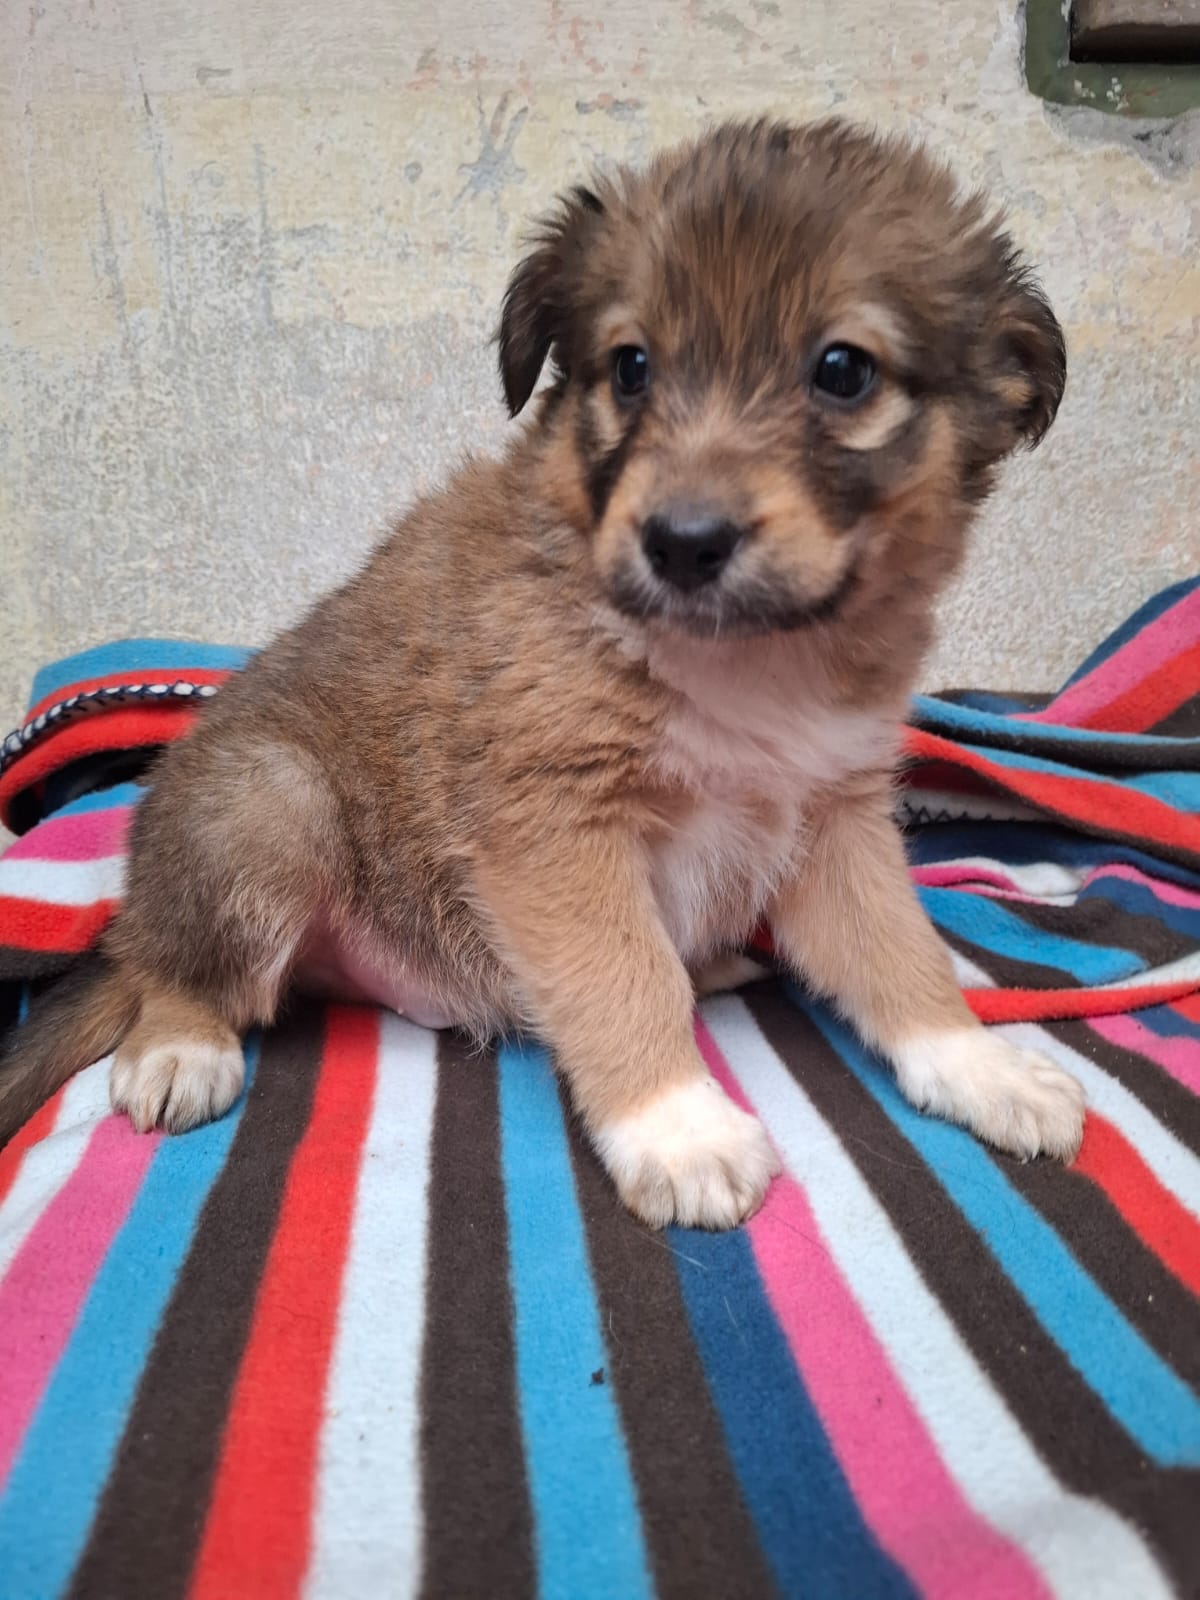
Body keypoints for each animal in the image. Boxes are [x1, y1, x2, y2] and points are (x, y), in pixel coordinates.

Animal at [0, 117, 1084, 1228]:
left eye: (843, 370)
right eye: (631, 366)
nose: (682, 542)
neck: (743, 658)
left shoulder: (835, 817)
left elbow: (902, 958)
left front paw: (980, 1065)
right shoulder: (555, 825)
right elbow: (626, 976)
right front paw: (677, 1125)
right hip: (269, 805)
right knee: (169, 968)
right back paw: (179, 1045)